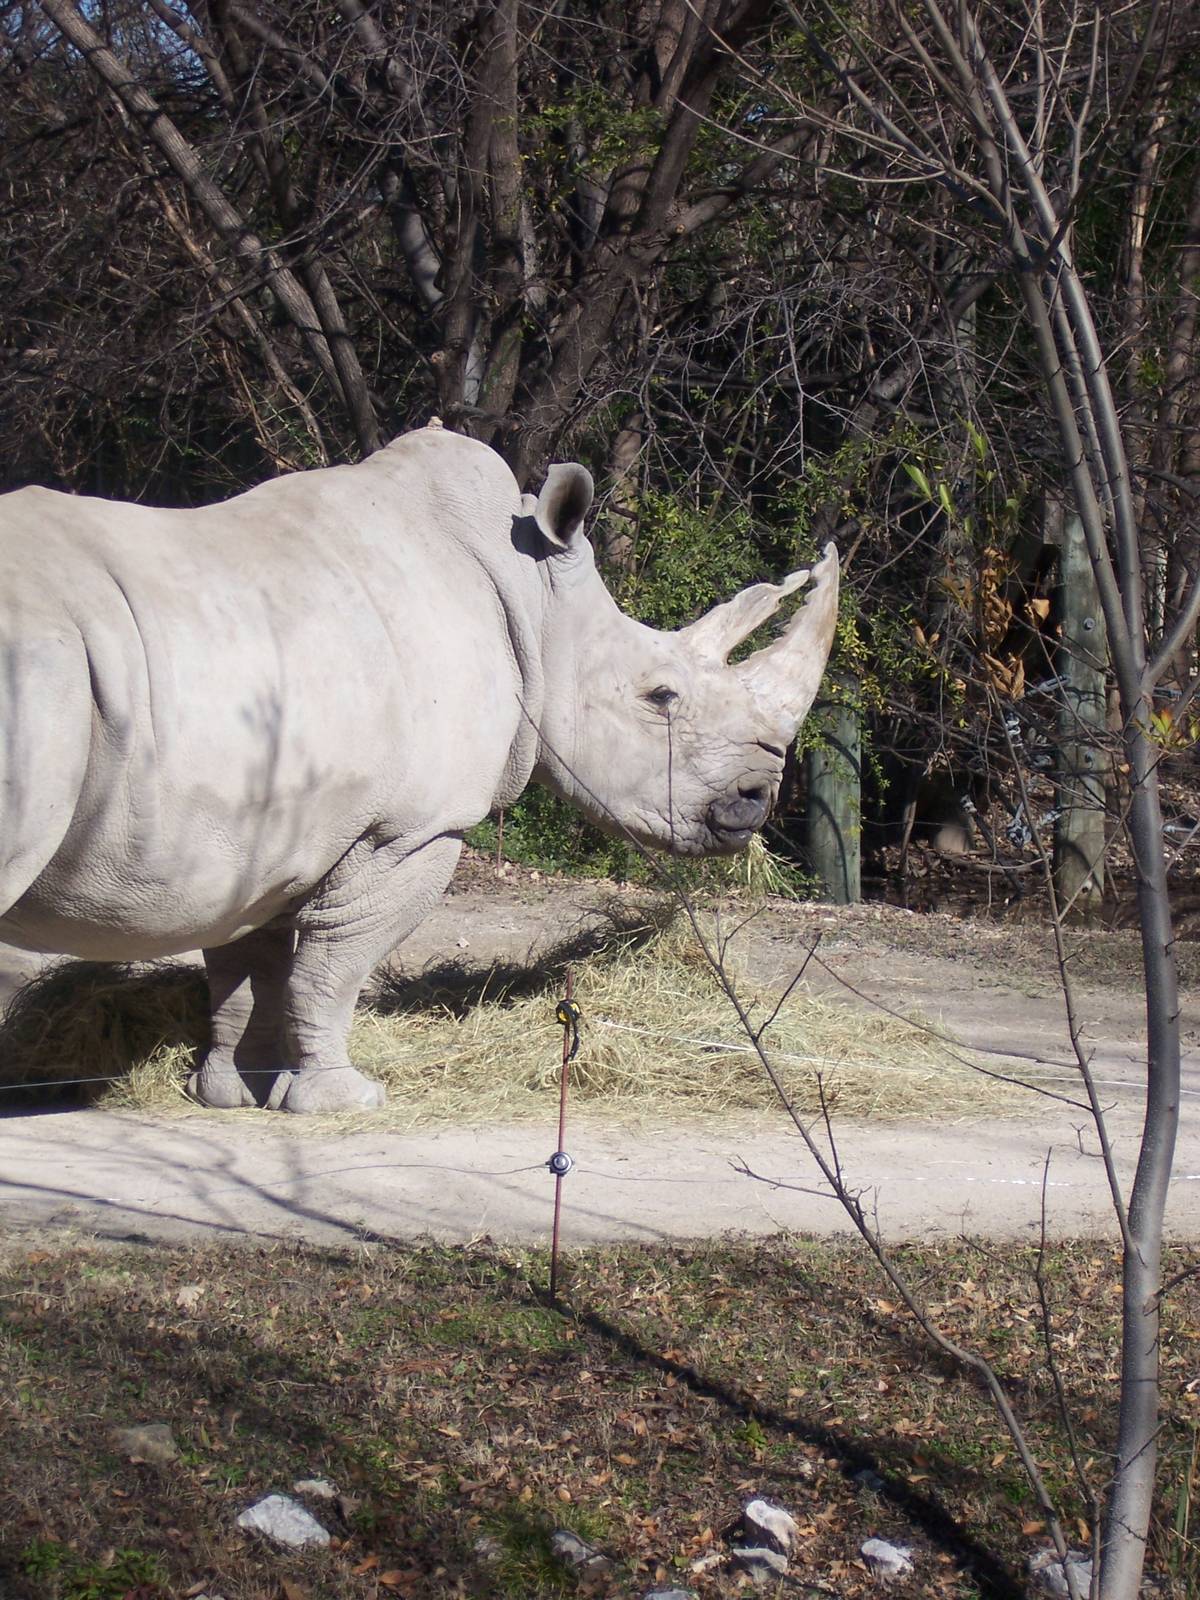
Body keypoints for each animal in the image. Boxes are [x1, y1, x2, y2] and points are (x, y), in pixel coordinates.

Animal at [0, 424, 837, 1112]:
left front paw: (237, 1092)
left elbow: (250, 967)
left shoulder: (265, 832)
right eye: (661, 696)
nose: (755, 799)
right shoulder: (412, 828)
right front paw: (342, 1101)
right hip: (38, 664)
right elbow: (334, 963)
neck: (537, 604)